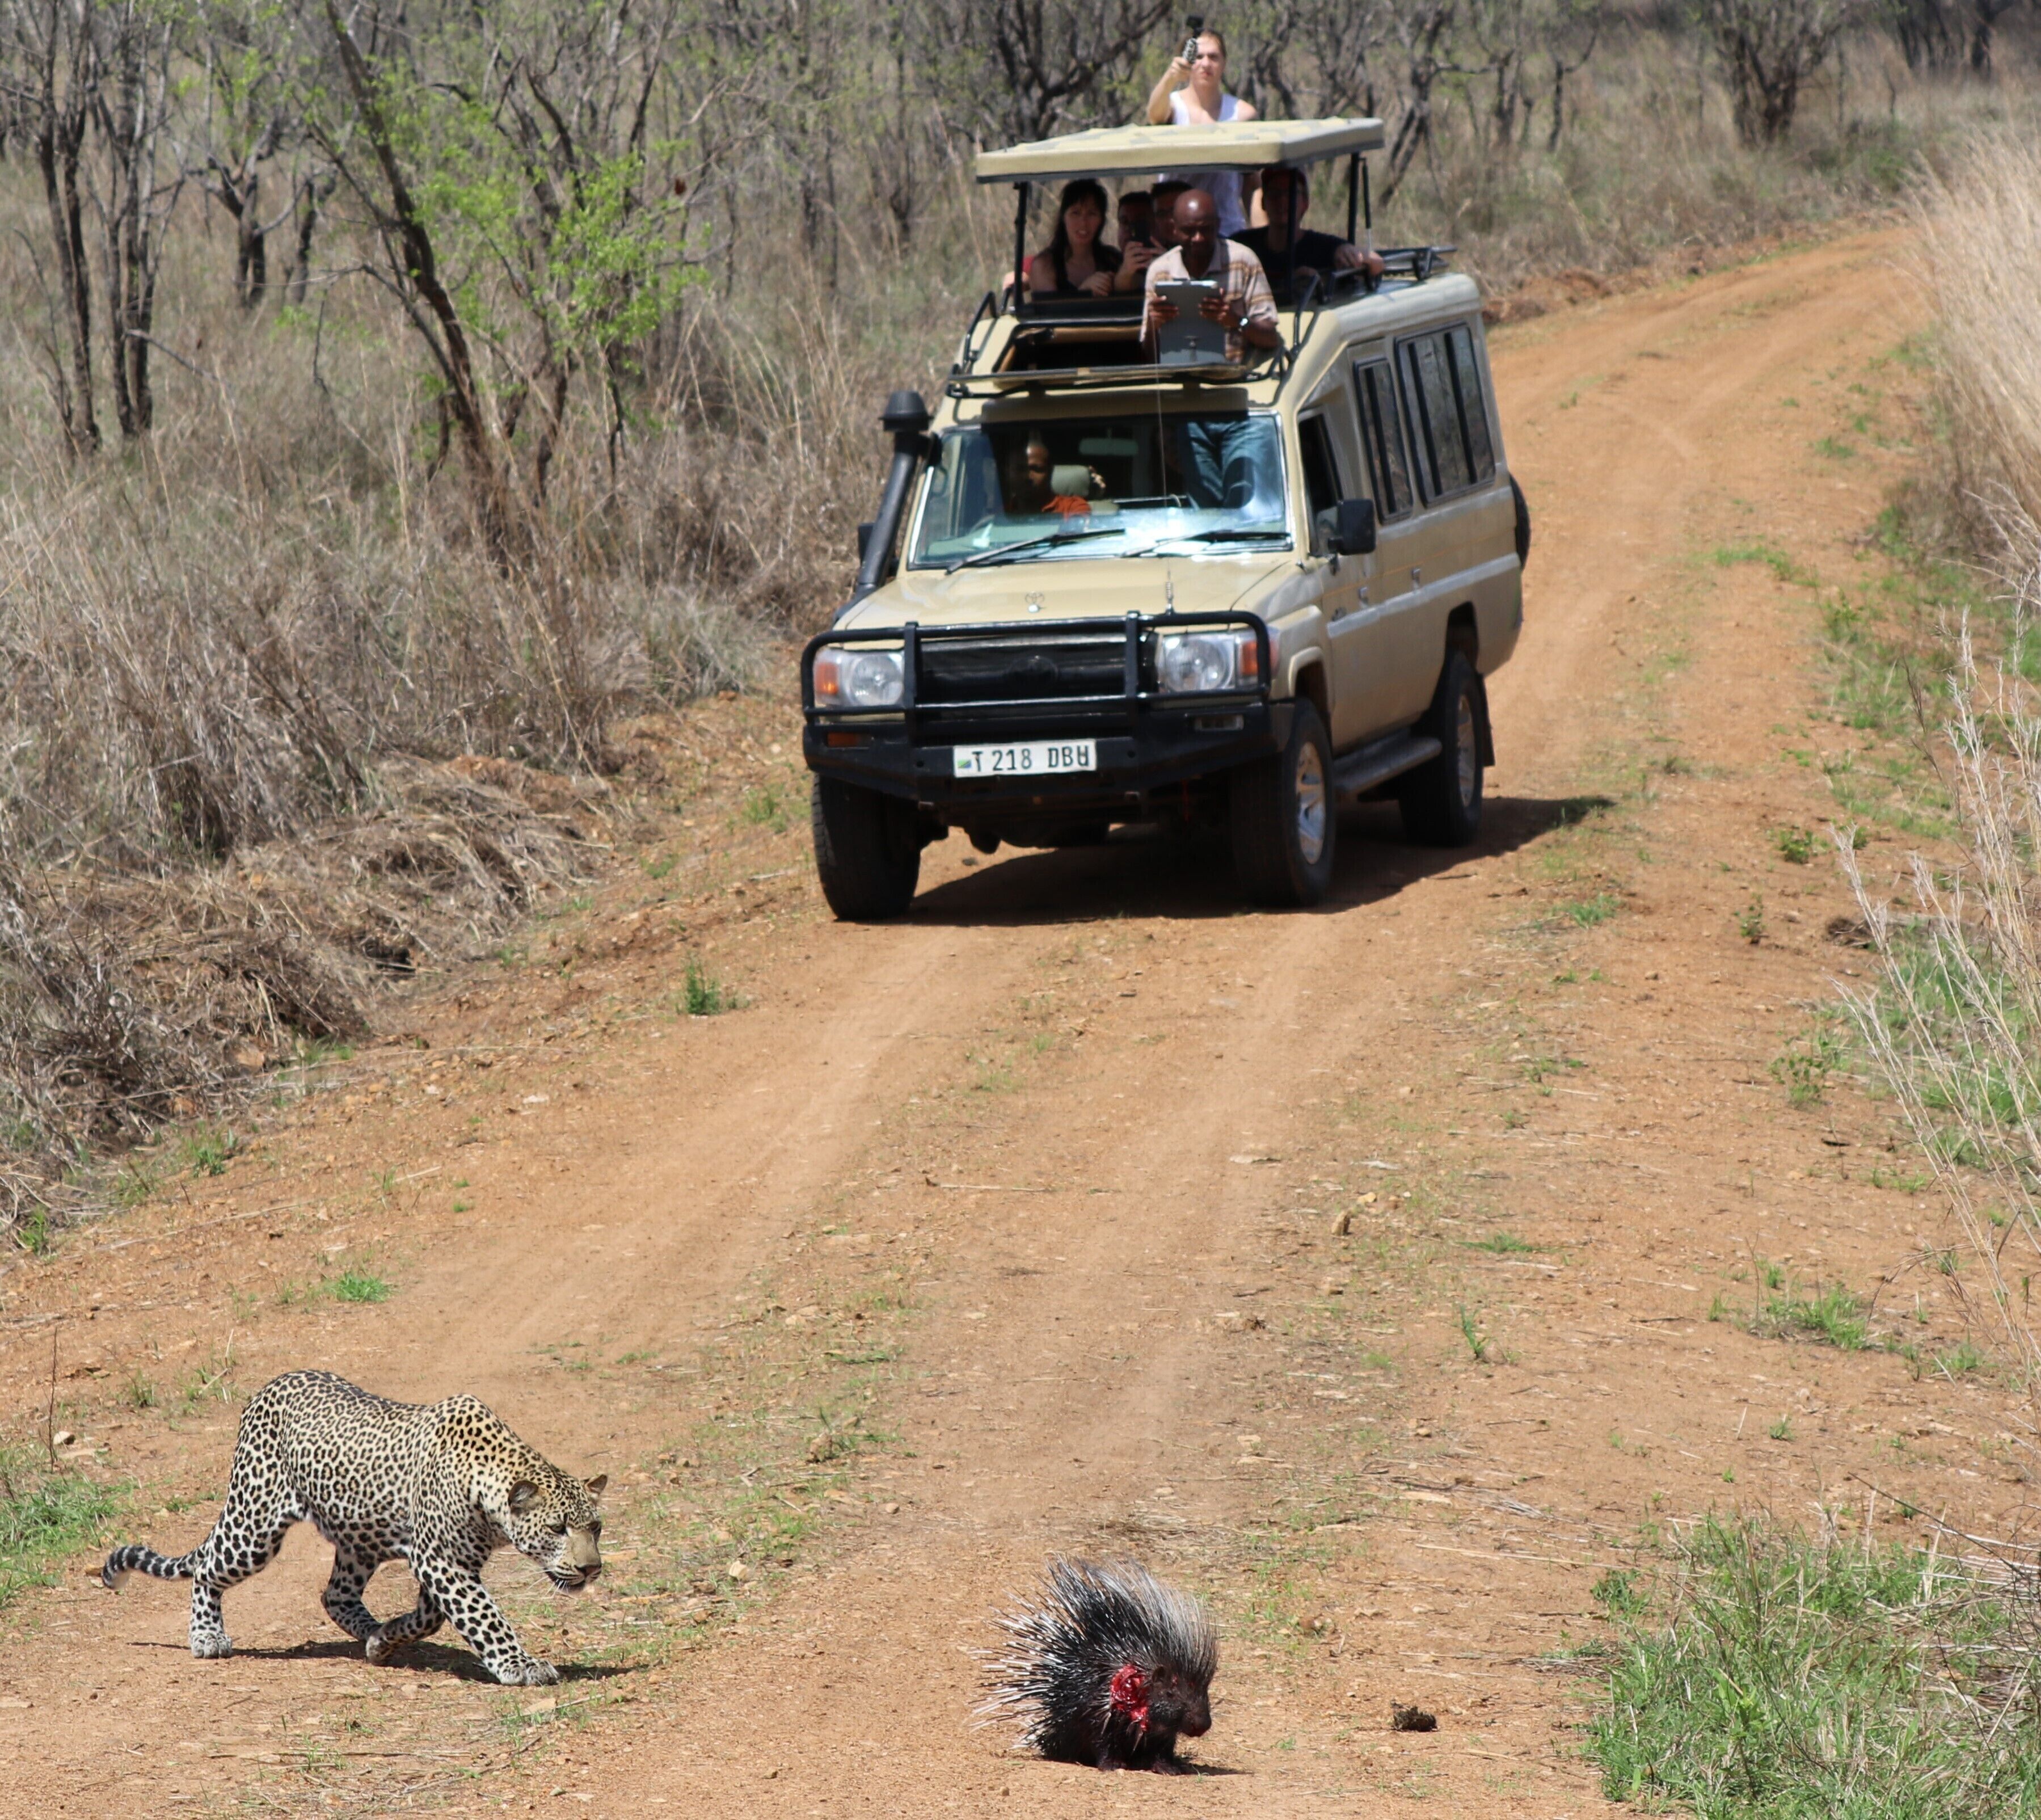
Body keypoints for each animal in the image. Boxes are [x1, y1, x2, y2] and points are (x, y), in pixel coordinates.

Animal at [101, 1369, 606, 1686]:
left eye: (596, 1527)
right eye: (558, 1528)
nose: (592, 1570)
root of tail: (270, 1386)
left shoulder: (446, 1563)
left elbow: (433, 1617)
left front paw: (384, 1642)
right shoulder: (443, 1561)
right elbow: (485, 1617)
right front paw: (521, 1666)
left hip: (360, 1537)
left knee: (335, 1594)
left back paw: (370, 1631)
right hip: (255, 1524)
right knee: (207, 1569)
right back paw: (207, 1637)